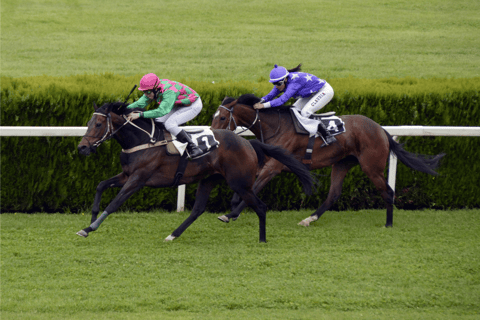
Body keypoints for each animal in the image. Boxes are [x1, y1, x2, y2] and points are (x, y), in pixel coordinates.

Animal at [76, 101, 316, 241]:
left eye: (98, 124)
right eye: (88, 122)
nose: (82, 148)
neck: (143, 140)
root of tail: (249, 143)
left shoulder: (138, 179)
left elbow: (115, 202)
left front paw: (89, 228)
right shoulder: (126, 174)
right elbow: (100, 185)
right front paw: (92, 215)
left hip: (239, 183)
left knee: (261, 206)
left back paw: (262, 239)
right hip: (209, 178)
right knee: (198, 209)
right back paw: (173, 235)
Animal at [212, 94, 444, 226]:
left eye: (222, 117)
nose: (215, 136)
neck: (275, 126)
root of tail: (381, 129)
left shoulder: (274, 167)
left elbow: (255, 187)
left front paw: (230, 214)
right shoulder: (263, 163)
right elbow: (245, 186)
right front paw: (234, 208)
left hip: (372, 166)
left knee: (387, 191)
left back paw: (388, 224)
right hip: (342, 163)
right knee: (334, 194)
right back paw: (310, 218)